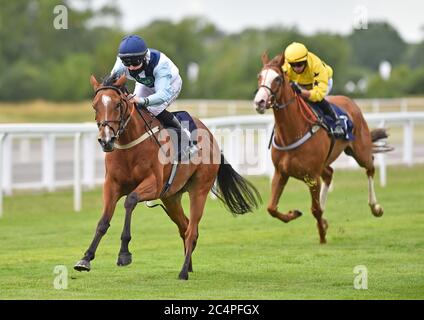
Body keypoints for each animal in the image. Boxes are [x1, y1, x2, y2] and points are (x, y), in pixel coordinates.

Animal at [74, 74, 260, 278]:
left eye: (117, 104)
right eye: (95, 106)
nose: (106, 140)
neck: (130, 146)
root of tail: (212, 137)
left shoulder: (154, 185)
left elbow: (130, 201)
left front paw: (124, 253)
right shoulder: (112, 185)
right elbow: (103, 222)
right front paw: (86, 258)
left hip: (199, 190)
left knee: (192, 230)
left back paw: (184, 272)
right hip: (171, 197)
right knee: (185, 226)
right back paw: (189, 265)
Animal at [253, 52, 390, 244]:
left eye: (278, 79)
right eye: (259, 76)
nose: (259, 102)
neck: (293, 131)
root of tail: (350, 101)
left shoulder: (311, 176)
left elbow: (315, 209)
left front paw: (322, 236)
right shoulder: (281, 172)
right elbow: (272, 208)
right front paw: (296, 214)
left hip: (360, 151)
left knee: (370, 167)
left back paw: (375, 207)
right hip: (325, 164)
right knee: (329, 174)